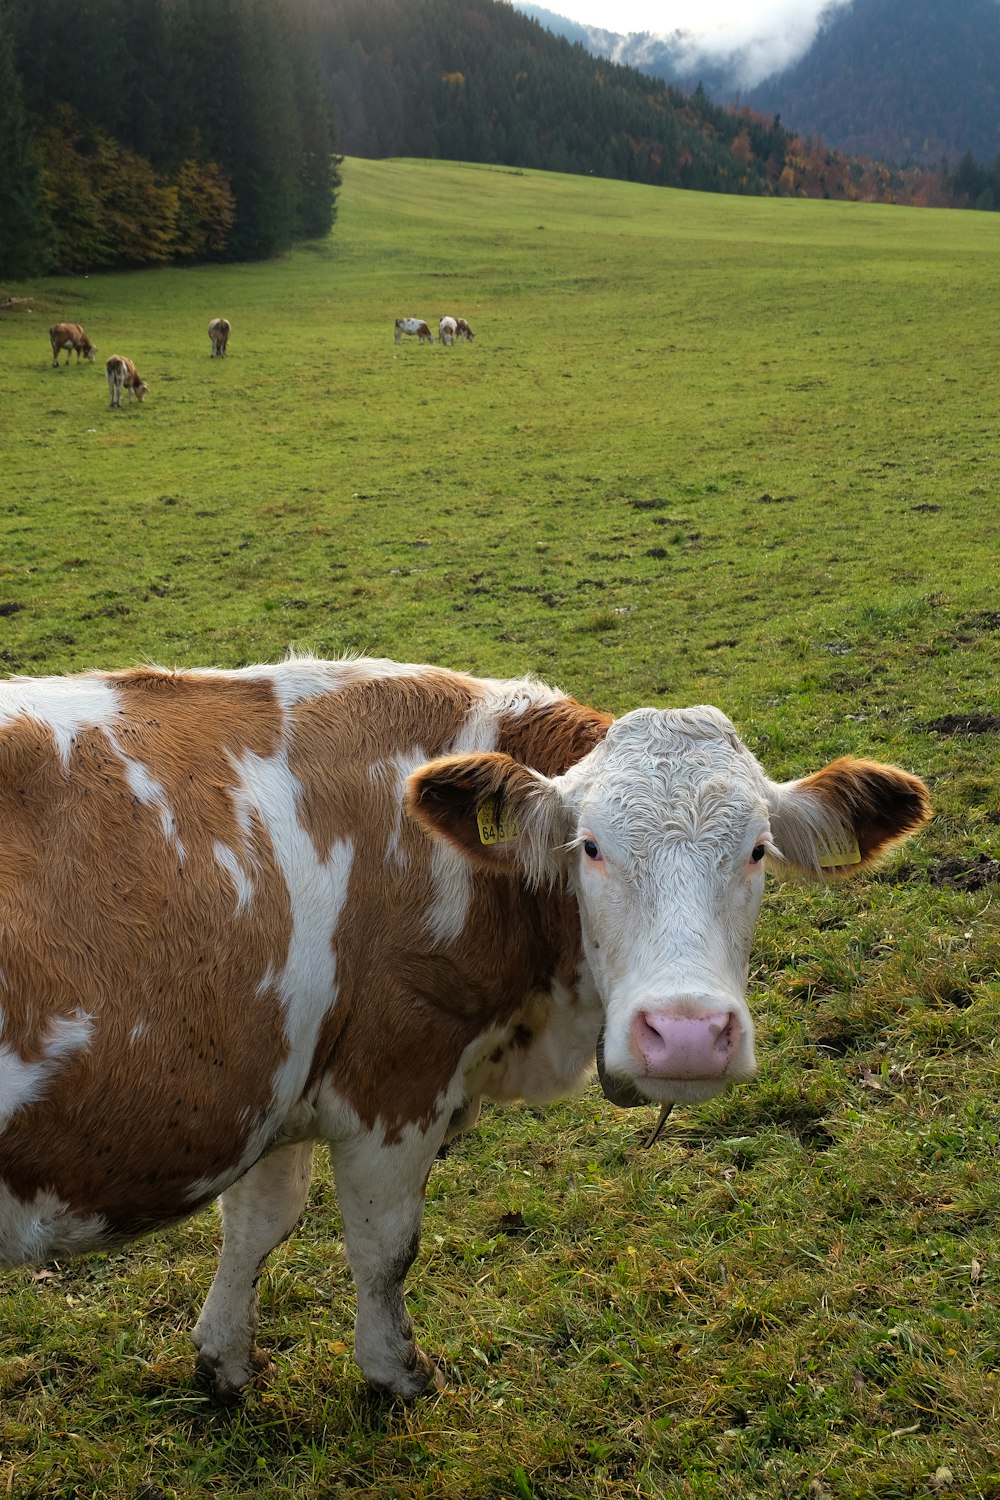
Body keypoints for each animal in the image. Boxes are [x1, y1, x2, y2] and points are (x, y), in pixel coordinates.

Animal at [0, 660, 929, 1404]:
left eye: (759, 849)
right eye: (589, 846)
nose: (689, 1032)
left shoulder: (271, 1078)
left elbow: (259, 1225)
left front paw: (223, 1363)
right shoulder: (396, 1081)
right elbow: (385, 1248)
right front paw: (396, 1374)